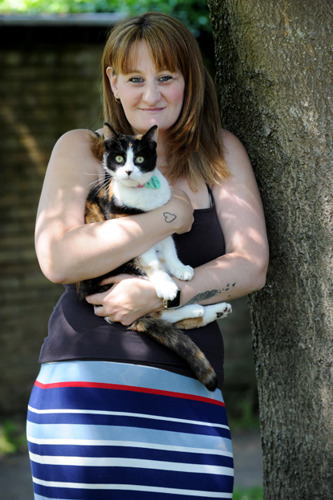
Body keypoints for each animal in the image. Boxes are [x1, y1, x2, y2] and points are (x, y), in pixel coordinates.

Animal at [77, 124, 231, 390]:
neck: (142, 197)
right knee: (154, 314)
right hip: (117, 269)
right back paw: (194, 309)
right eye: (119, 159)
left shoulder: (162, 222)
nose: (129, 171)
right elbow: (152, 264)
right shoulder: (130, 232)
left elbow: (169, 250)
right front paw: (167, 285)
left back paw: (214, 310)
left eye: (139, 159)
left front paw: (180, 269)